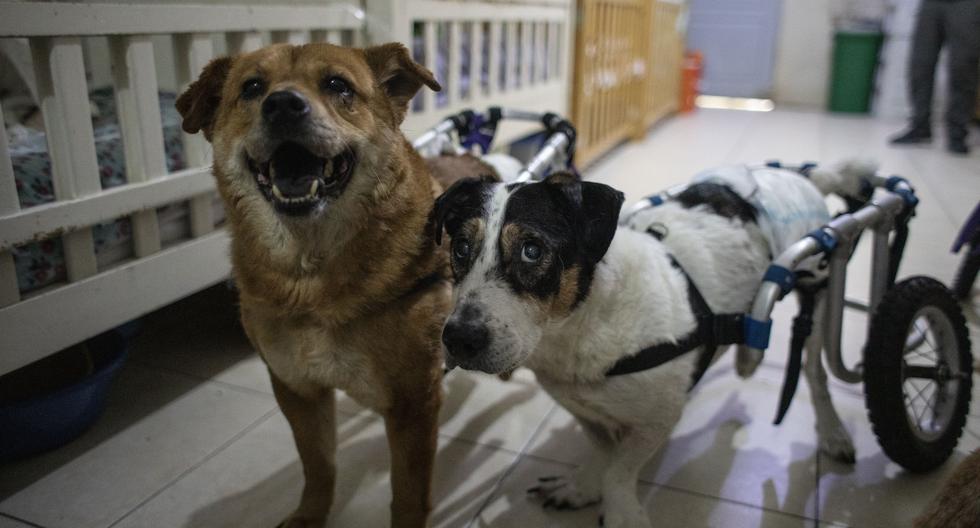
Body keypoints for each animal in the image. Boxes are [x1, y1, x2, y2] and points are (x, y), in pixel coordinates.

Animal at [177, 42, 448, 528]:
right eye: (252, 87)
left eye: (338, 84)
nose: (283, 104)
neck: (312, 279)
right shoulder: (296, 389)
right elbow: (318, 465)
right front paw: (309, 515)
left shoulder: (413, 403)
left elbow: (408, 494)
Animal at [432, 161, 876, 528]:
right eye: (460, 248)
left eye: (531, 250)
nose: (459, 339)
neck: (580, 325)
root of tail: (801, 176)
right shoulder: (581, 405)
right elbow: (602, 450)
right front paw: (584, 485)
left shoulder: (658, 420)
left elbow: (619, 471)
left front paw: (622, 513)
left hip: (817, 292)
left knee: (816, 372)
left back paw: (832, 431)